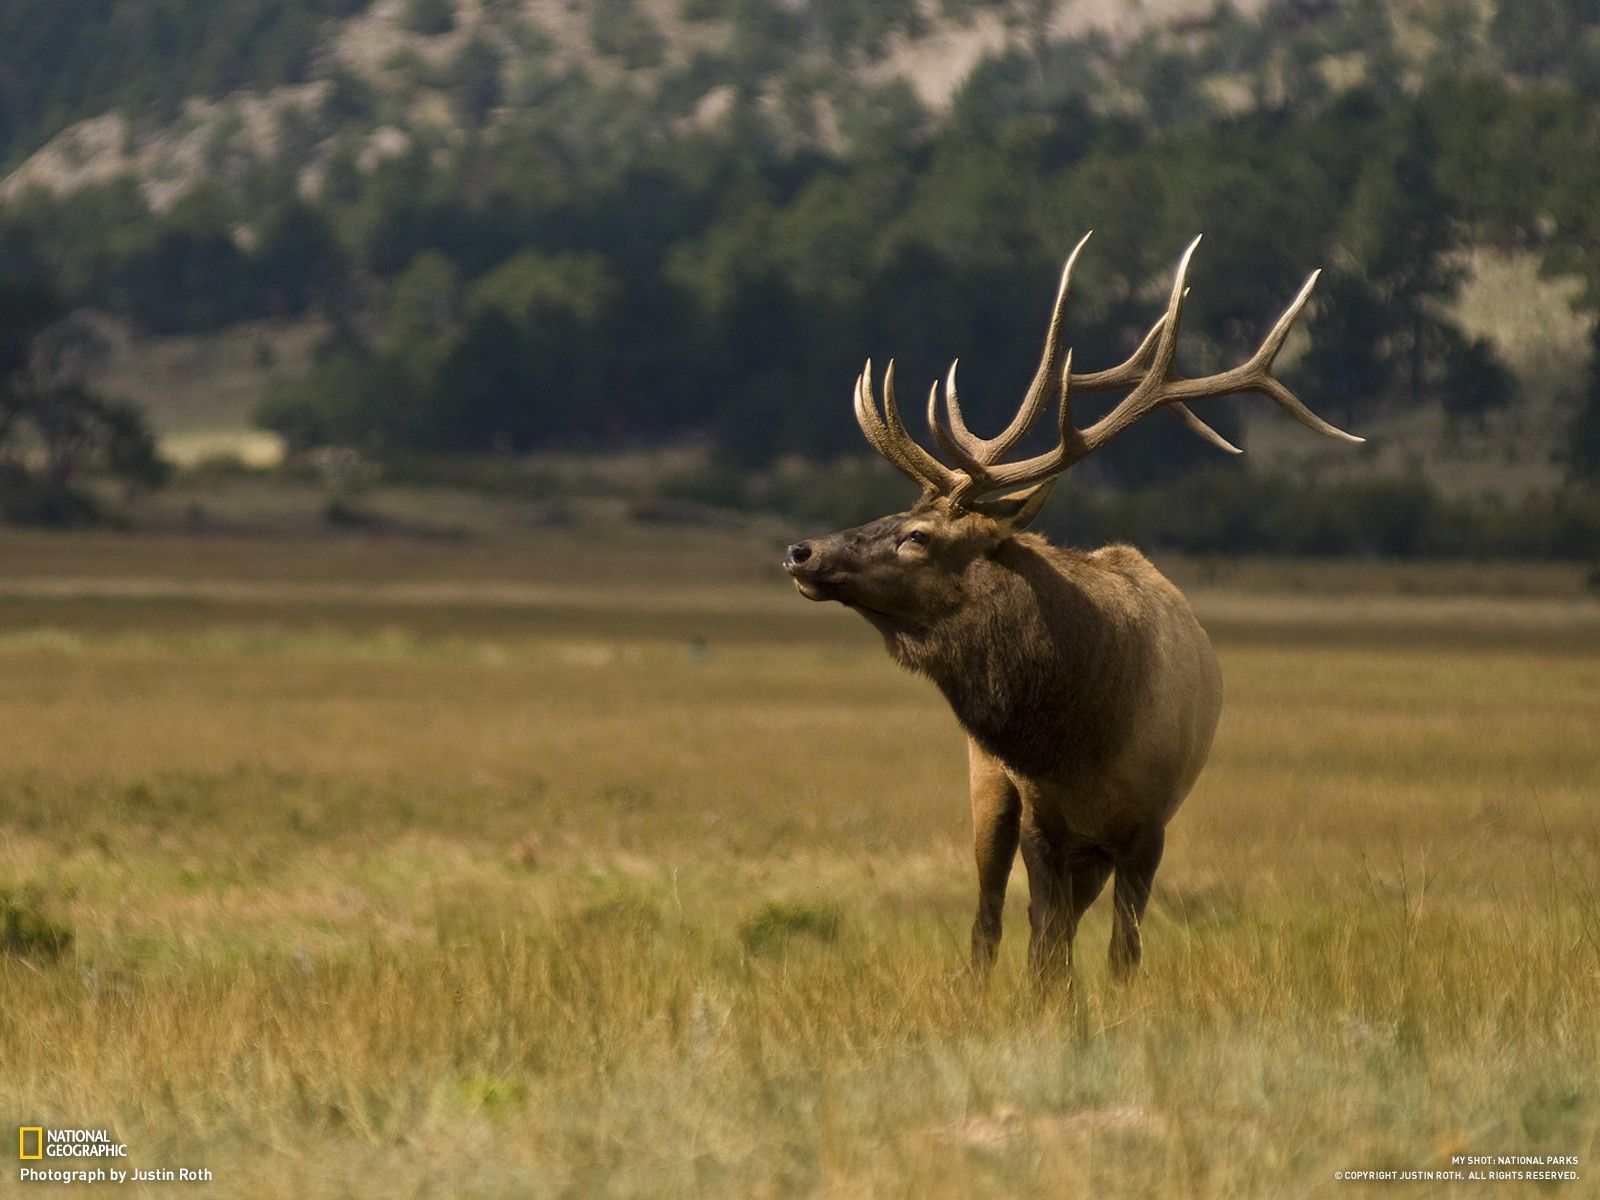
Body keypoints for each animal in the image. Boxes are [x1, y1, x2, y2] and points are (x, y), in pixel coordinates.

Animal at [783, 234, 1361, 984]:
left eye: (918, 536)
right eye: (897, 513)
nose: (802, 550)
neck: (1081, 737)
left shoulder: (1148, 827)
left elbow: (1120, 954)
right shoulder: (1040, 817)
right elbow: (1044, 951)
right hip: (987, 787)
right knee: (990, 922)